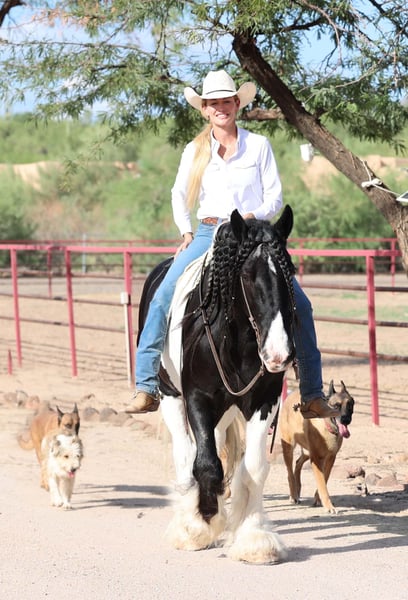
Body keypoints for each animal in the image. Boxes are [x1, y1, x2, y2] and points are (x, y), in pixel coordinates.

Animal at [137, 206, 296, 563]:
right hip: (170, 396)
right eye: (248, 276)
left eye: (289, 274)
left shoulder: (263, 401)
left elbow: (253, 467)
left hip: (225, 411)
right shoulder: (197, 397)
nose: (279, 353)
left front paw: (253, 538)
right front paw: (200, 523)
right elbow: (206, 464)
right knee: (186, 457)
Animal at [279, 381, 354, 513]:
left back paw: (298, 488)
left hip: (307, 452)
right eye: (336, 406)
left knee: (298, 463)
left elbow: (325, 477)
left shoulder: (330, 458)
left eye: (350, 405)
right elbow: (321, 482)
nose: (345, 420)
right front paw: (329, 506)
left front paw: (317, 498)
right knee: (289, 472)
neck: (327, 428)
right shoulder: (316, 459)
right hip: (288, 448)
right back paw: (293, 495)